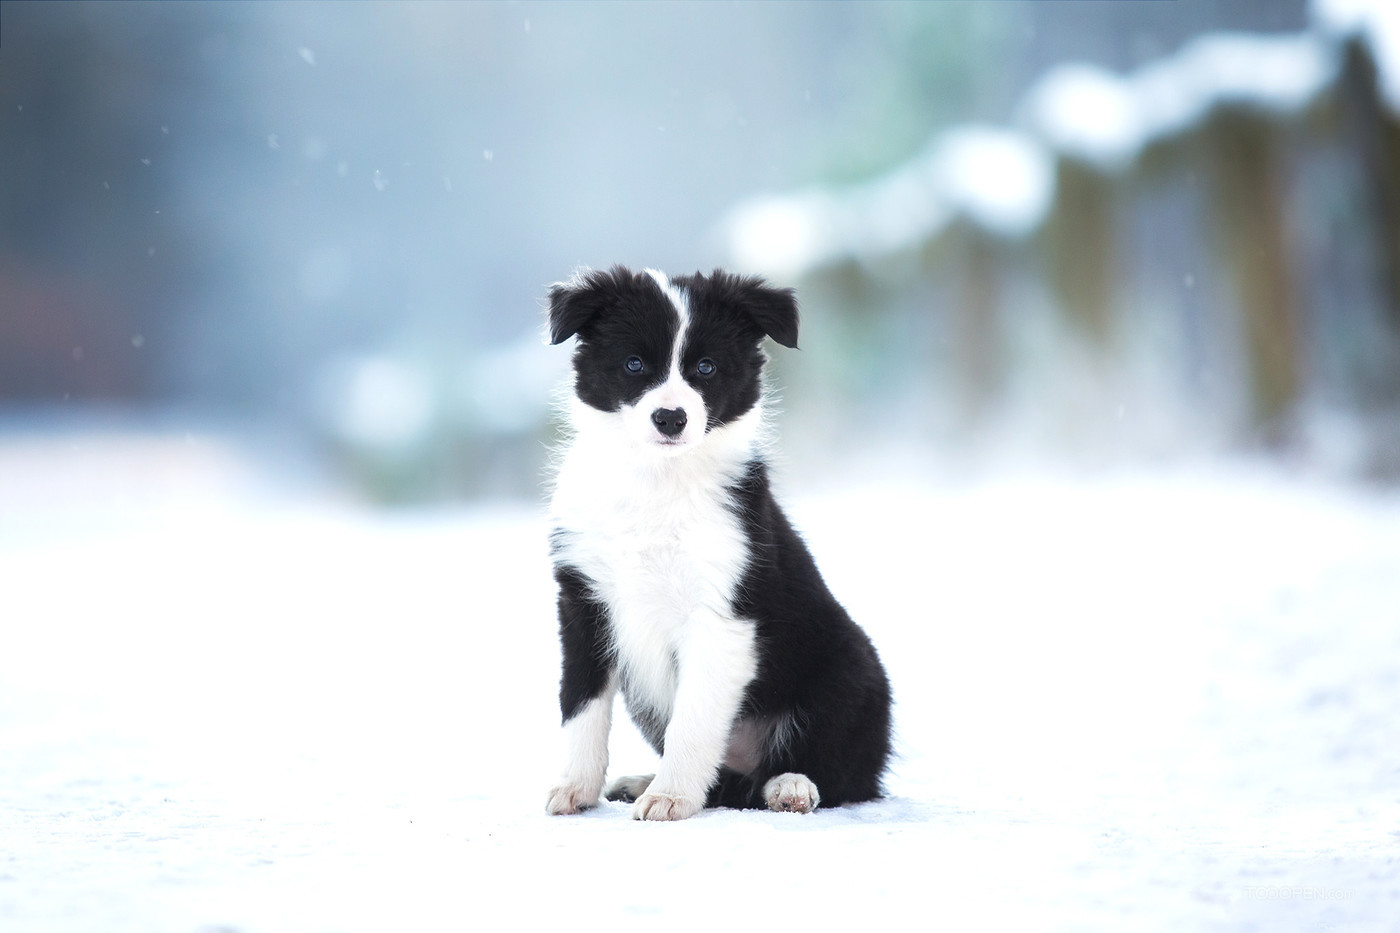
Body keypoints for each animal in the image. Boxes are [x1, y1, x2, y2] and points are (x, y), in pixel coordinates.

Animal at [540, 264, 890, 818]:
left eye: (706, 368)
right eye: (634, 363)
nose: (671, 418)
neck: (658, 481)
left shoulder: (721, 616)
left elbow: (693, 721)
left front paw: (671, 797)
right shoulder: (582, 602)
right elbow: (581, 705)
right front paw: (575, 787)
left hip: (852, 670)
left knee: (839, 774)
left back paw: (791, 786)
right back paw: (643, 780)